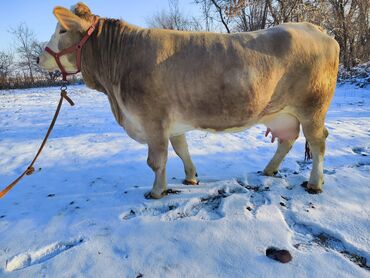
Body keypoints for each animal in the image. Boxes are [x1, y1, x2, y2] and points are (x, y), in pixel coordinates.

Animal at [38, 1, 342, 198]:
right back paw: (269, 170)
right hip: (281, 112)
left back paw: (315, 183)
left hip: (312, 108)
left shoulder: (152, 120)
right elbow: (181, 149)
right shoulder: (171, 122)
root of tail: (318, 30)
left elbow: (156, 159)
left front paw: (156, 191)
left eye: (62, 30)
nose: (39, 57)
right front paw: (191, 176)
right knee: (287, 140)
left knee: (318, 142)